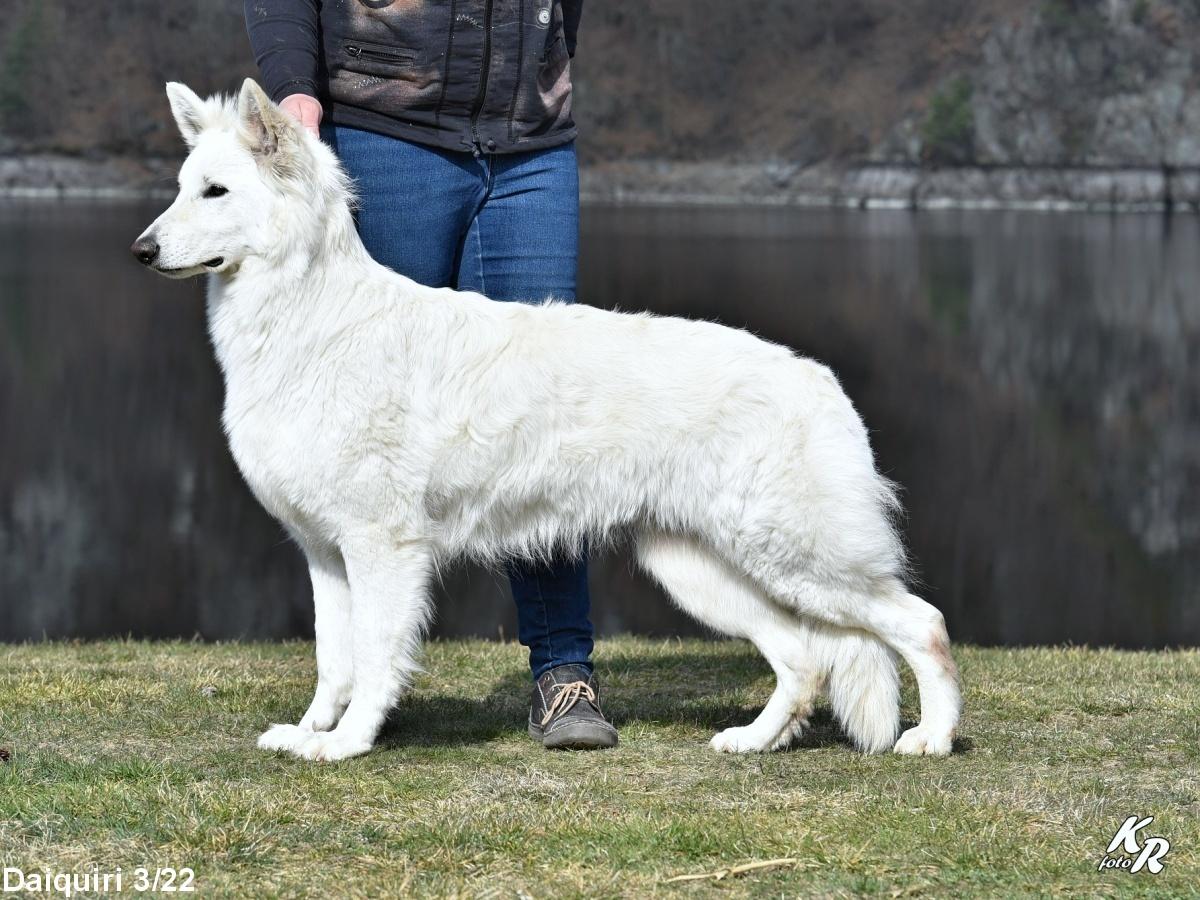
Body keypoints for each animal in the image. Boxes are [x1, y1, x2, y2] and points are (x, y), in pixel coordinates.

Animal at [131, 81, 960, 763]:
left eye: (215, 192)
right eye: (181, 189)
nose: (140, 250)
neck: (310, 319)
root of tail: (819, 379)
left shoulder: (381, 549)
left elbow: (372, 657)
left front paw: (348, 743)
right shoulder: (326, 554)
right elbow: (333, 659)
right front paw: (309, 732)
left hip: (802, 559)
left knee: (923, 623)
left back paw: (933, 738)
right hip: (706, 570)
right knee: (805, 659)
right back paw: (754, 741)